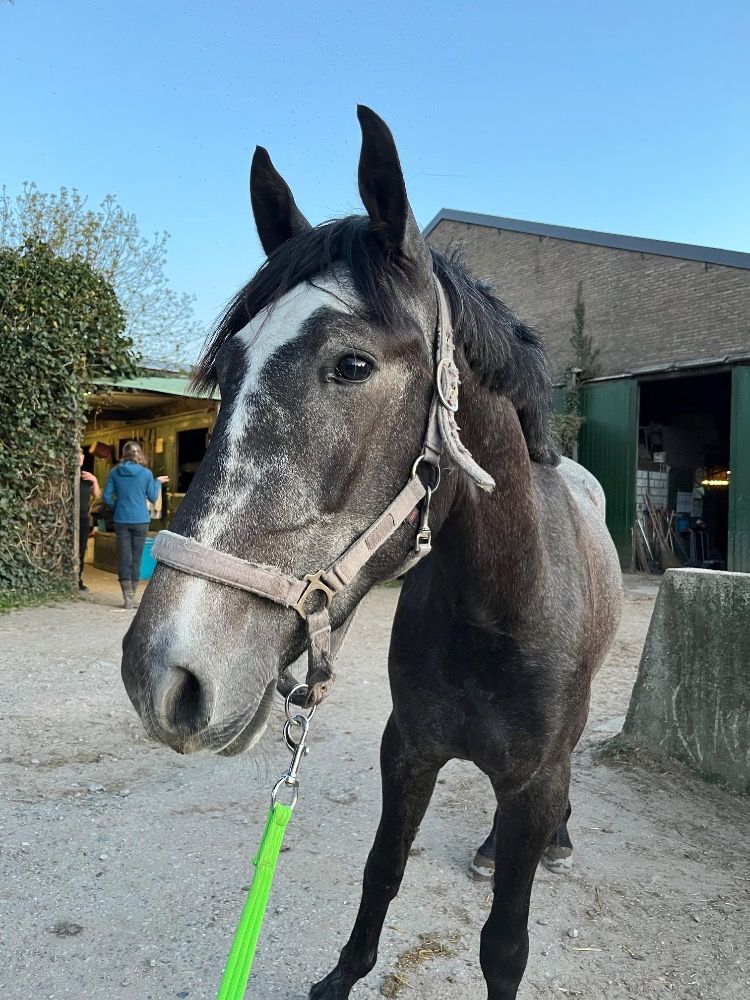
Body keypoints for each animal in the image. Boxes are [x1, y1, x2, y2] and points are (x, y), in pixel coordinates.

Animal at [121, 105, 622, 1000]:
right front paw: (341, 976)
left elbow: (505, 942)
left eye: (351, 364)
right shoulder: (407, 750)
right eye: (232, 365)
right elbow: (381, 871)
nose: (163, 675)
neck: (497, 609)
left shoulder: (531, 781)